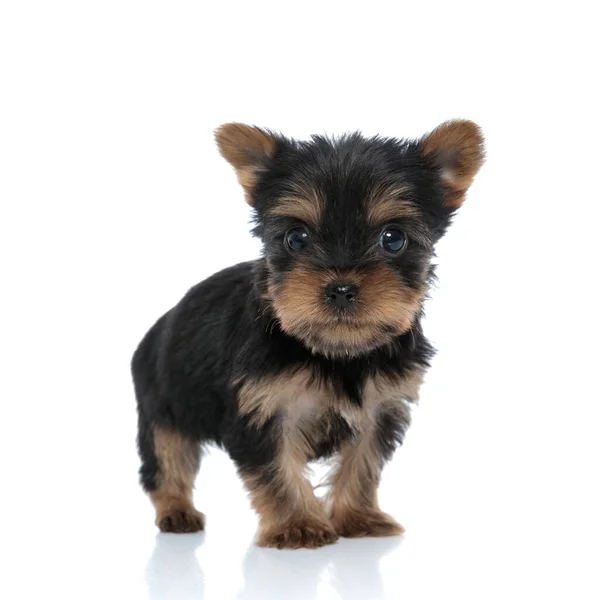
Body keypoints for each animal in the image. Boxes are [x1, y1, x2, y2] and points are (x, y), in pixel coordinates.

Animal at [131, 119, 482, 552]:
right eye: (296, 238)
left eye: (393, 238)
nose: (341, 288)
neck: (337, 352)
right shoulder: (262, 409)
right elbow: (276, 468)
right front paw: (296, 525)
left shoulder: (380, 407)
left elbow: (363, 463)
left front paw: (358, 517)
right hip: (162, 404)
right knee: (166, 458)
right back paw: (176, 511)